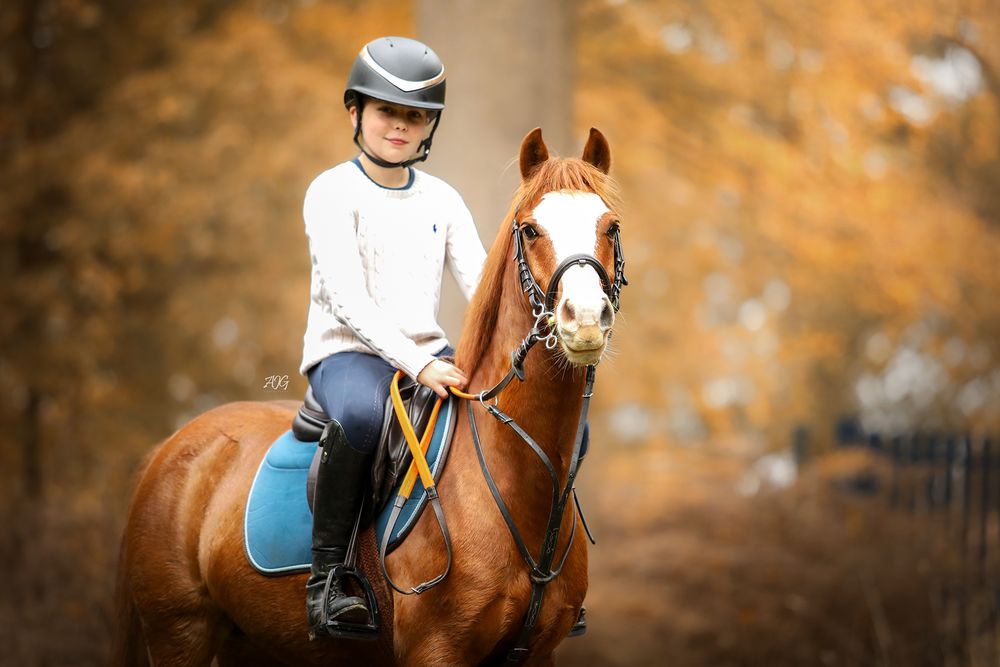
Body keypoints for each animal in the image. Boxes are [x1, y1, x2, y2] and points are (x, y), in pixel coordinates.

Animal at [112, 126, 625, 666]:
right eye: (529, 230)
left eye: (611, 227)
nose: (584, 319)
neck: (513, 481)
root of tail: (170, 449)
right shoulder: (436, 649)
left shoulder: (537, 654)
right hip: (180, 632)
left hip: (250, 642)